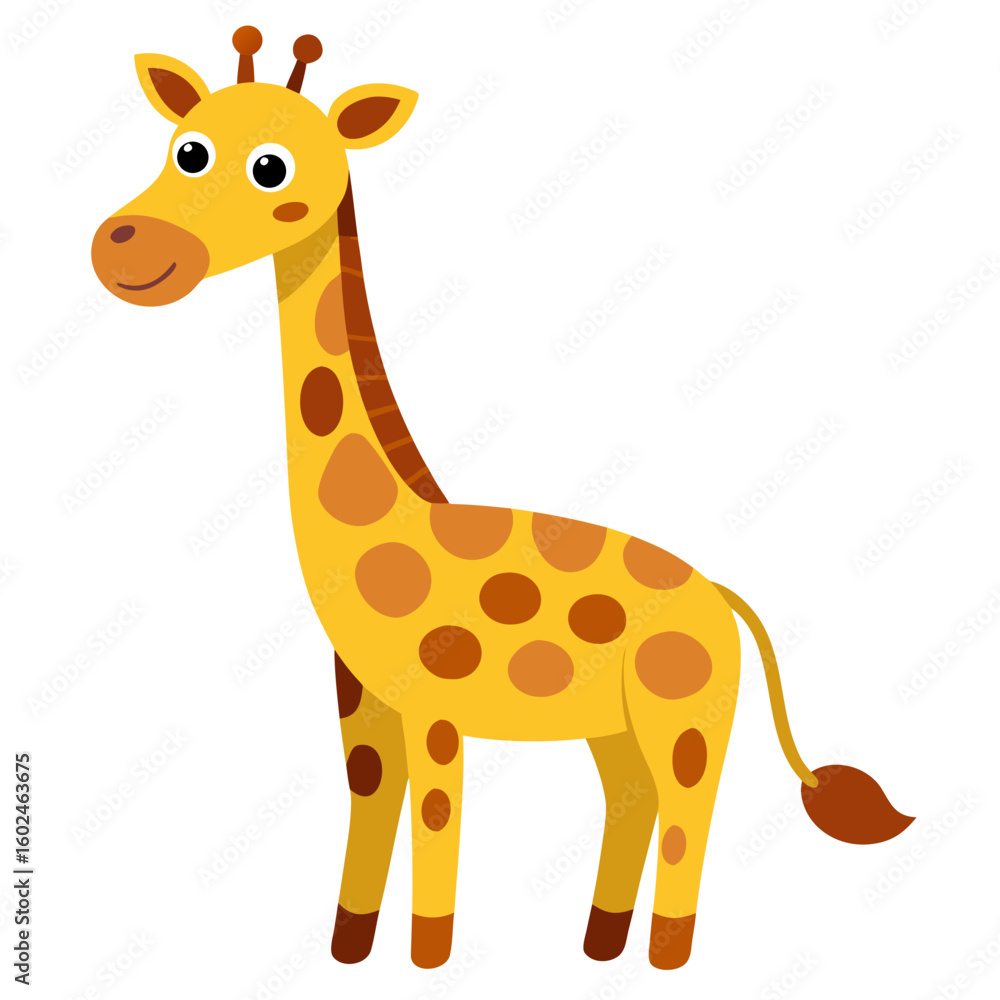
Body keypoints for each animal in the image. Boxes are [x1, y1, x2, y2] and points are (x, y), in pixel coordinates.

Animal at [91, 28, 916, 971]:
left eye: (271, 167)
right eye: (186, 149)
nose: (125, 248)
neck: (382, 523)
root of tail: (724, 598)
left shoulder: (435, 709)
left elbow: (437, 822)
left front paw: (429, 960)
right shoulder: (364, 708)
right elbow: (369, 814)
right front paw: (347, 954)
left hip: (686, 719)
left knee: (689, 814)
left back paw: (665, 958)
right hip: (614, 727)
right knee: (631, 801)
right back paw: (598, 947)